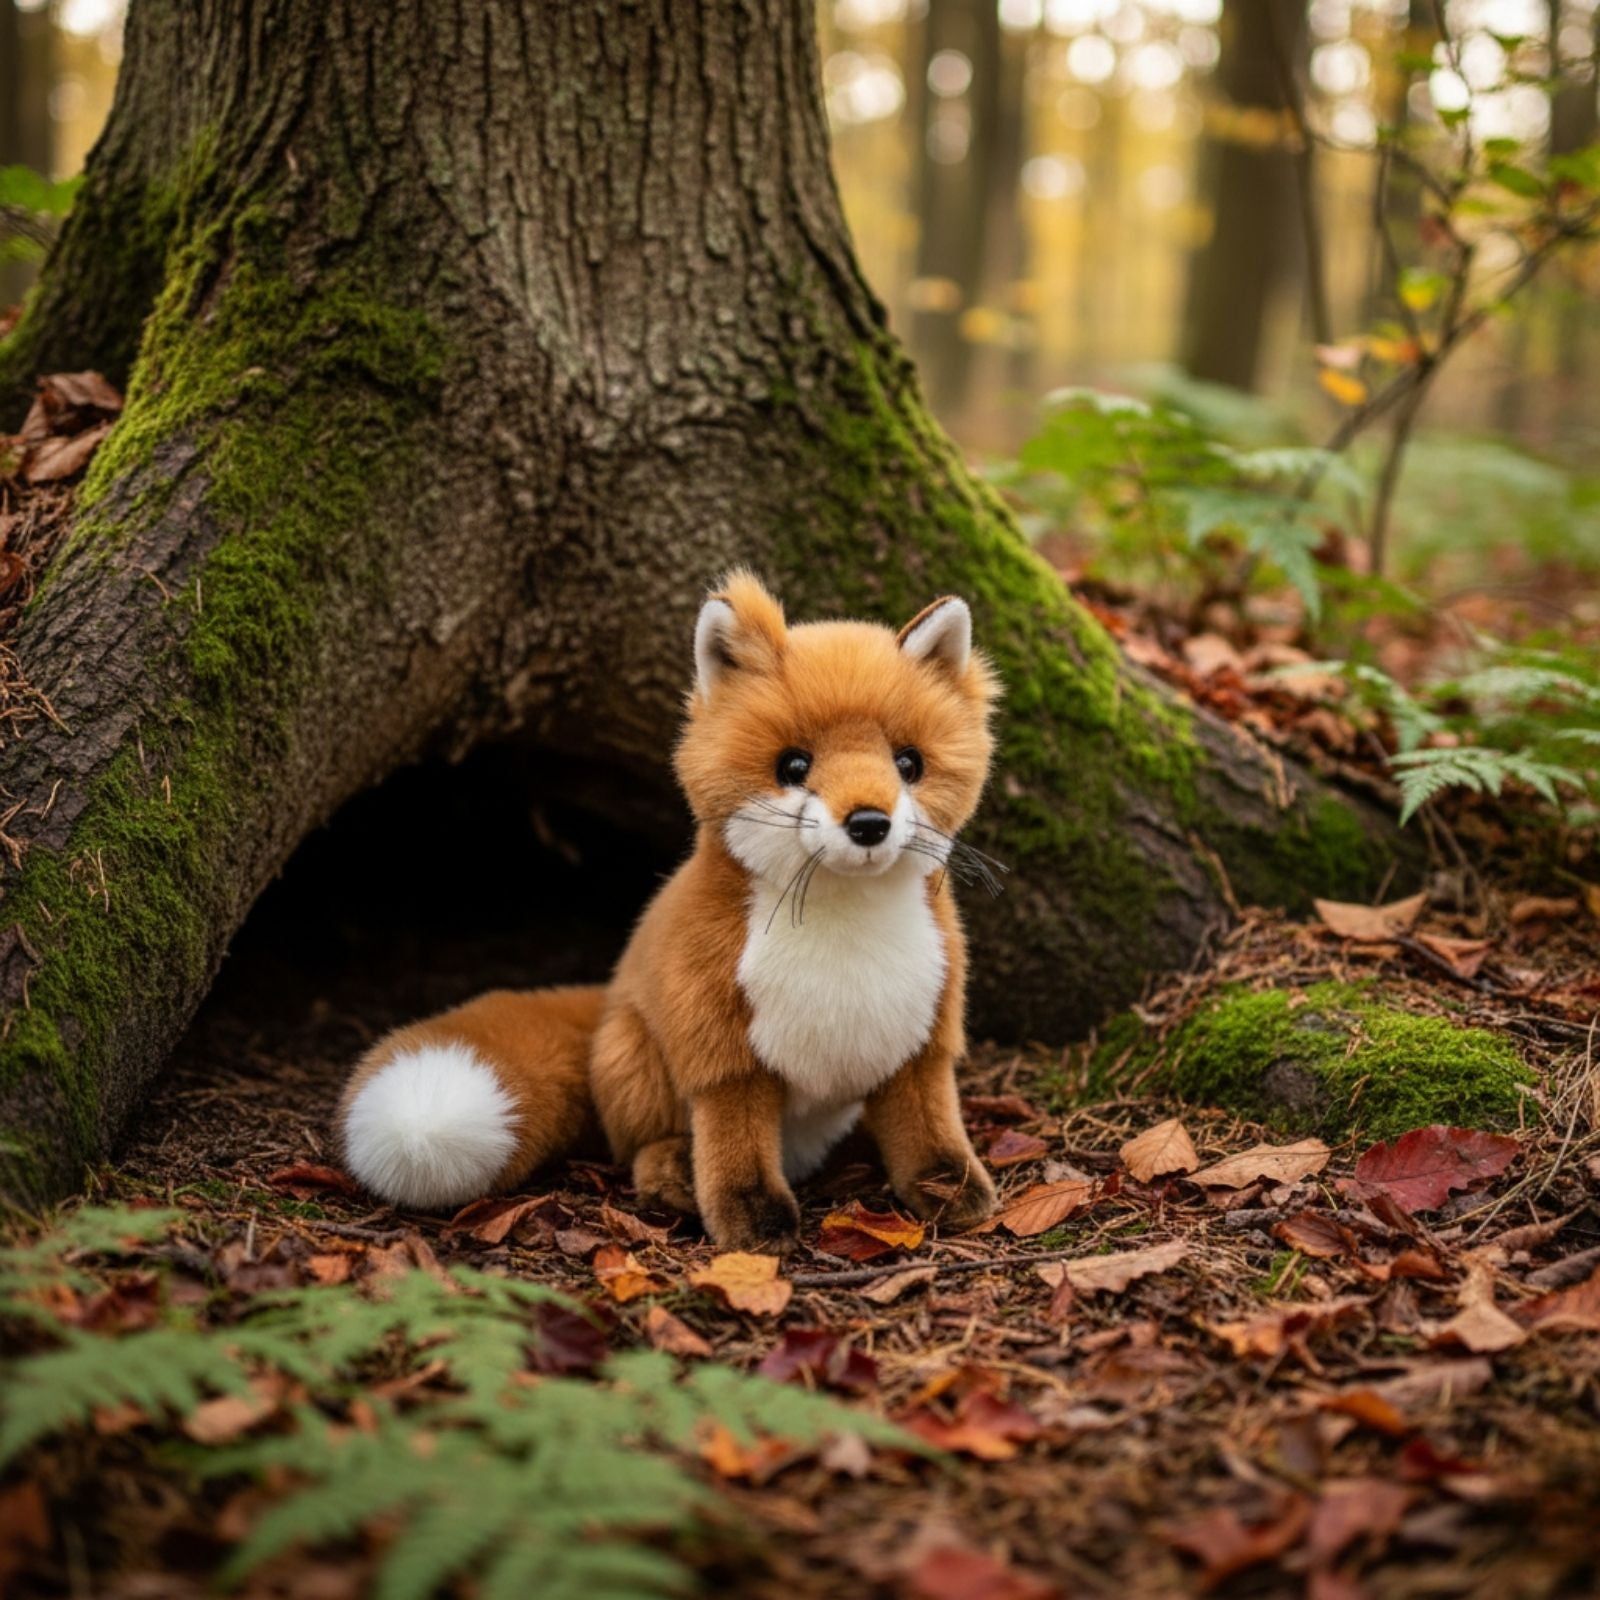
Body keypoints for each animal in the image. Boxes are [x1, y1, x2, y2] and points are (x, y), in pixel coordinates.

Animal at [337, 572, 1002, 1252]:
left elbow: (930, 1129)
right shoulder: (721, 1053)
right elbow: (735, 1151)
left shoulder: (923, 1039)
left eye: (908, 763)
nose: (869, 822)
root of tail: (608, 1000)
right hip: (639, 1063)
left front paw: (952, 1188)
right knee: (642, 1150)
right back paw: (674, 1174)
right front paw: (751, 1220)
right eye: (794, 766)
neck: (846, 948)